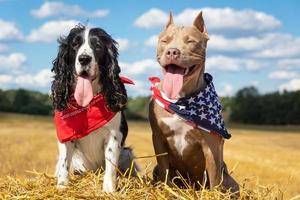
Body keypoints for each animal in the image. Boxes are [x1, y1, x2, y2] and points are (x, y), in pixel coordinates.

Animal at [50, 24, 137, 192]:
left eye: (98, 46)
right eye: (74, 45)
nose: (84, 58)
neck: (87, 104)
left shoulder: (114, 135)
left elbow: (110, 165)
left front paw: (109, 190)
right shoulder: (66, 136)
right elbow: (64, 162)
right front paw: (62, 186)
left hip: (127, 153)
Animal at [149, 11, 239, 193]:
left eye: (190, 41)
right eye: (165, 41)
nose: (172, 51)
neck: (180, 100)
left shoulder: (212, 145)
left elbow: (214, 178)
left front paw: (213, 195)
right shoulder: (158, 138)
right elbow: (164, 169)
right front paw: (166, 190)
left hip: (231, 181)